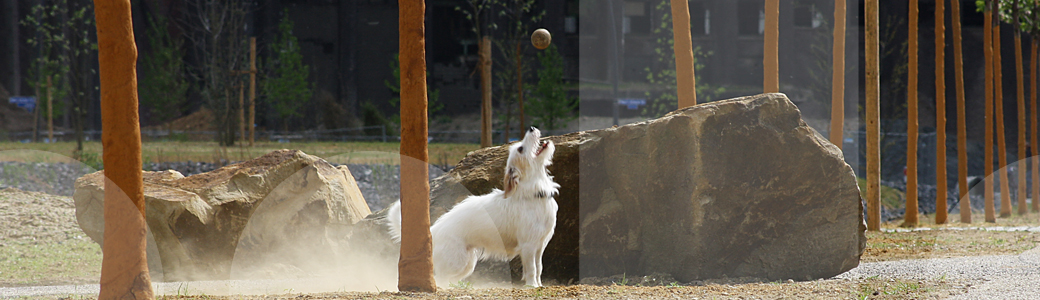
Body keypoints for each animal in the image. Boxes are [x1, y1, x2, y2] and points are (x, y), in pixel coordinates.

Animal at [386, 126, 561, 285]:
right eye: (521, 148)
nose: (531, 128)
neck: (534, 193)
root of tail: (433, 230)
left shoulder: (540, 246)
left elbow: (539, 268)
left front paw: (539, 286)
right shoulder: (528, 246)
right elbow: (531, 269)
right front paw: (532, 286)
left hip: (467, 264)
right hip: (457, 261)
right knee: (441, 278)